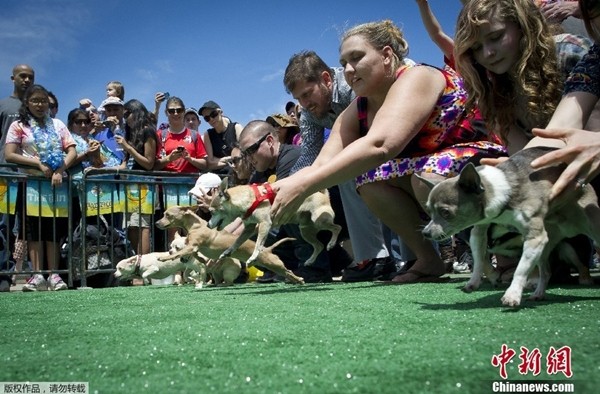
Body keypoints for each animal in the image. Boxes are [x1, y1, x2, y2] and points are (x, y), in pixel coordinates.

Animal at [206, 179, 340, 268]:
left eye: (211, 212)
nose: (207, 225)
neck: (249, 199)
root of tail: (323, 195)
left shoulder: (264, 224)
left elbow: (258, 244)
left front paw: (253, 258)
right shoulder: (249, 228)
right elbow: (237, 241)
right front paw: (227, 252)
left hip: (319, 220)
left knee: (337, 228)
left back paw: (331, 243)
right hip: (305, 230)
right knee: (319, 245)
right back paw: (310, 261)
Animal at [420, 148, 600, 308]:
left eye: (445, 212)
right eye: (428, 211)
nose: (425, 233)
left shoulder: (534, 238)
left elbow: (521, 269)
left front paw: (512, 294)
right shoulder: (478, 233)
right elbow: (480, 260)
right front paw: (474, 281)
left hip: (585, 234)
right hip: (545, 247)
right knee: (546, 272)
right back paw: (538, 294)